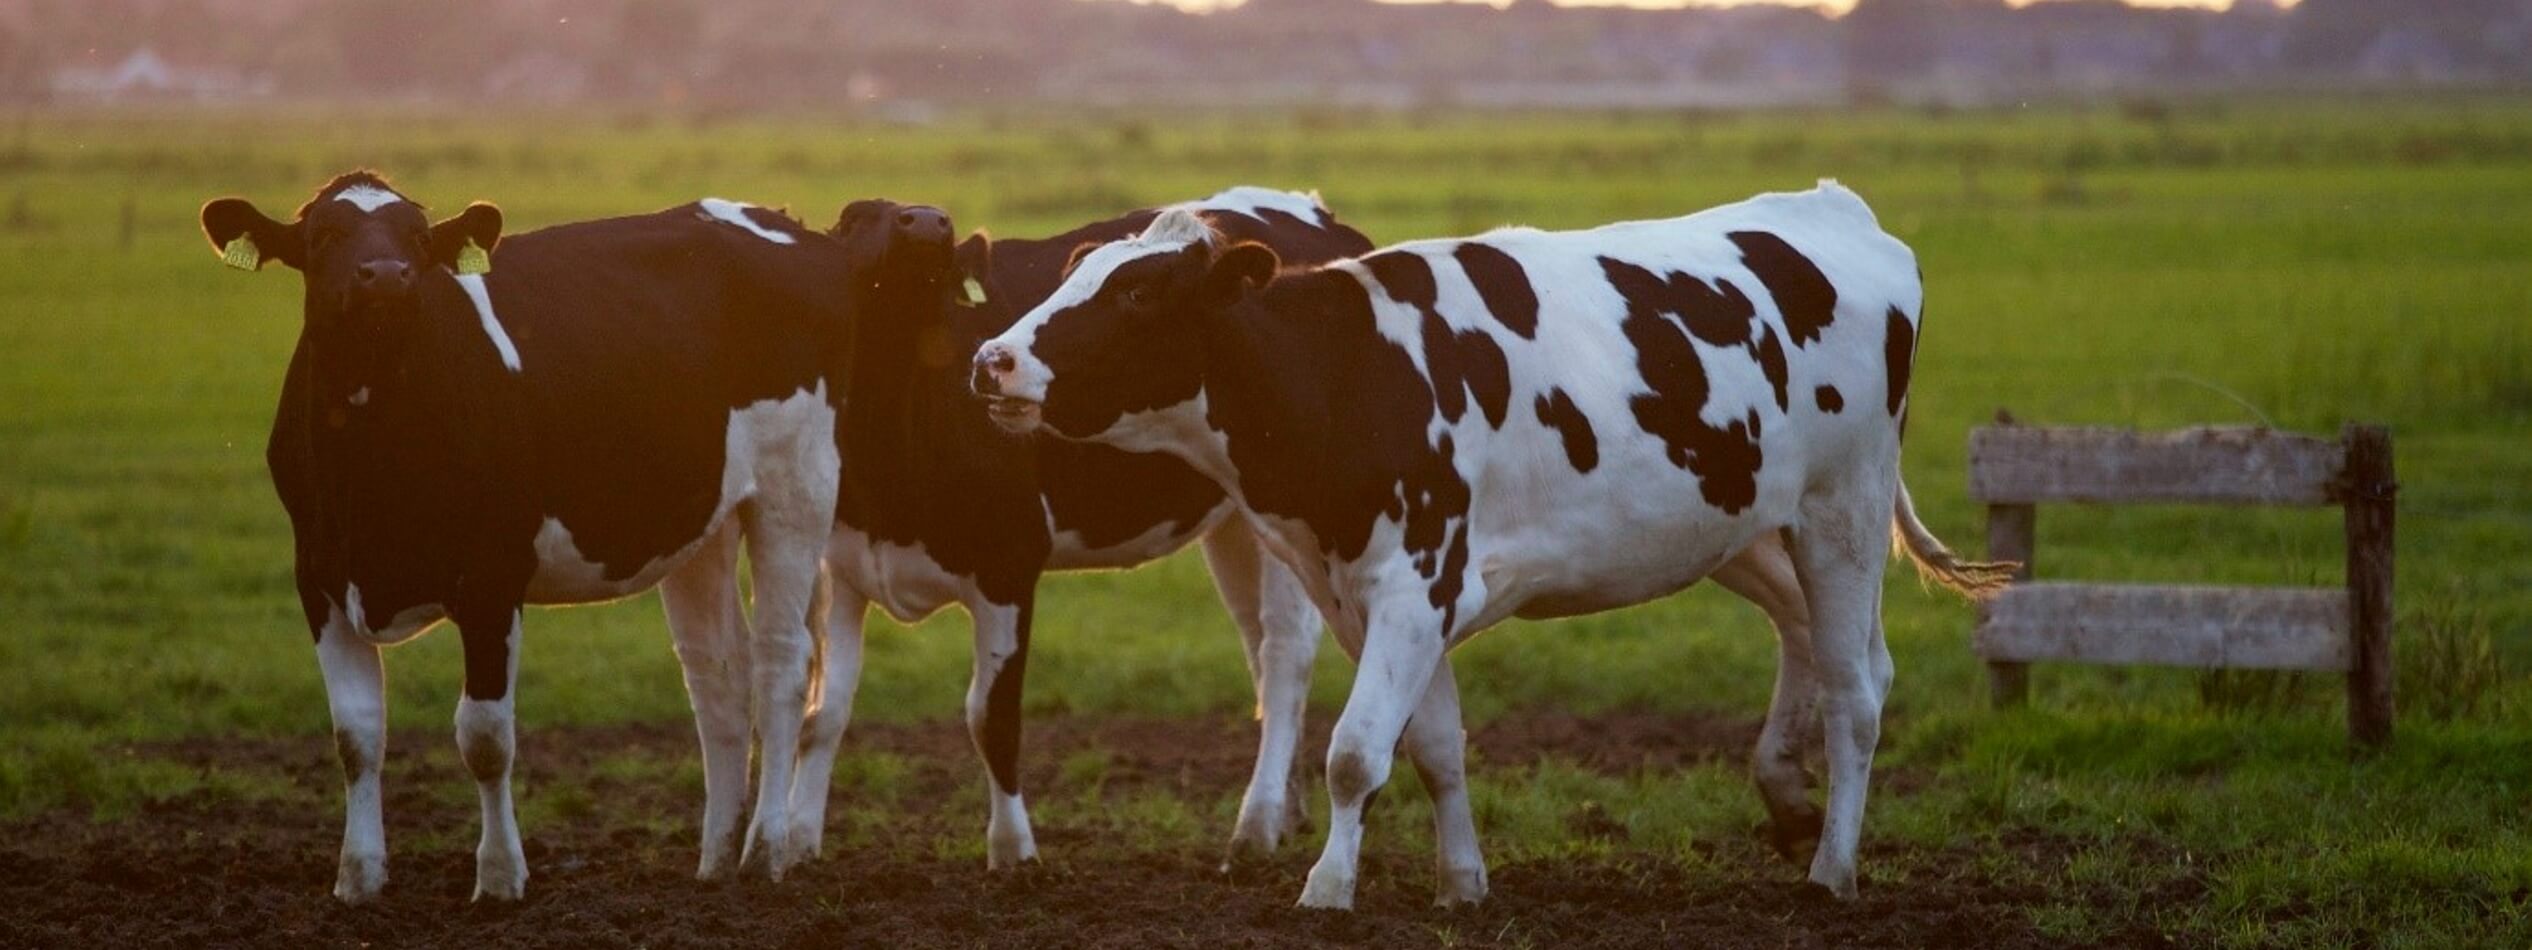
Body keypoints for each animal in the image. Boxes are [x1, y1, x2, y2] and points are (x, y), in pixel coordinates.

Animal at [200, 174, 871, 901]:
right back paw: (715, 857)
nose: (386, 275)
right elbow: (356, 734)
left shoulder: (491, 579)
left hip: (795, 485)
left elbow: (485, 736)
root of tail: (779, 220)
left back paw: (765, 850)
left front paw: (498, 877)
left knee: (782, 663)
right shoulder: (319, 577)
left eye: (418, 237)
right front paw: (358, 877)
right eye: (323, 235)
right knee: (718, 674)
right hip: (704, 518)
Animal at [784, 187, 1377, 871]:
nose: (929, 222)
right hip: (1236, 522)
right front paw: (796, 843)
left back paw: (1255, 825)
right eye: (854, 218)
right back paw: (1287, 809)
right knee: (1257, 645)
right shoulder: (843, 567)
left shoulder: (1009, 564)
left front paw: (1013, 853)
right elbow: (823, 713)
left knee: (1284, 654)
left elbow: (991, 717)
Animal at [967, 182, 2015, 912]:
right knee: (1820, 643)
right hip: (1744, 524)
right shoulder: (1378, 597)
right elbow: (1432, 747)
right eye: (1076, 272)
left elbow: (1355, 753)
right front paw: (1461, 882)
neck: (1350, 373)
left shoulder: (1414, 583)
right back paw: (1788, 799)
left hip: (1843, 510)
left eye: (1139, 294)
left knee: (1857, 690)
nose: (991, 360)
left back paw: (1833, 867)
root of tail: (1835, 210)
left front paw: (1327, 888)